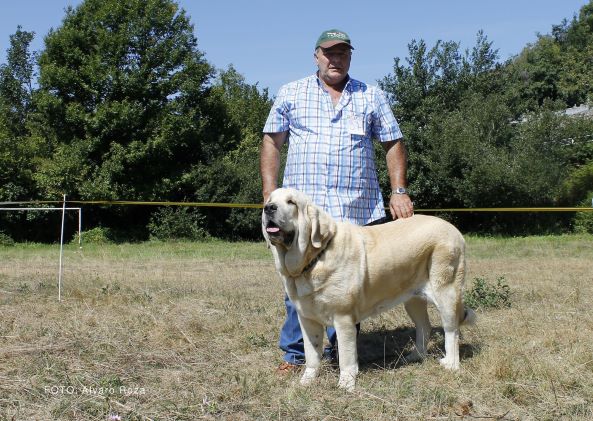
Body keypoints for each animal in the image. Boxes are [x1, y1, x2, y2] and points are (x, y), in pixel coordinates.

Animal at [262, 187, 474, 390]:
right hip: (413, 300)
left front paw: (346, 384)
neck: (314, 259)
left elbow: (346, 355)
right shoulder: (307, 319)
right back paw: (415, 356)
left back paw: (451, 364)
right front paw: (306, 381)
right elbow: (312, 353)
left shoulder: (343, 318)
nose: (269, 208)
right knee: (424, 327)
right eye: (270, 200)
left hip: (446, 292)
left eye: (291, 202)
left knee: (451, 330)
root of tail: (454, 230)